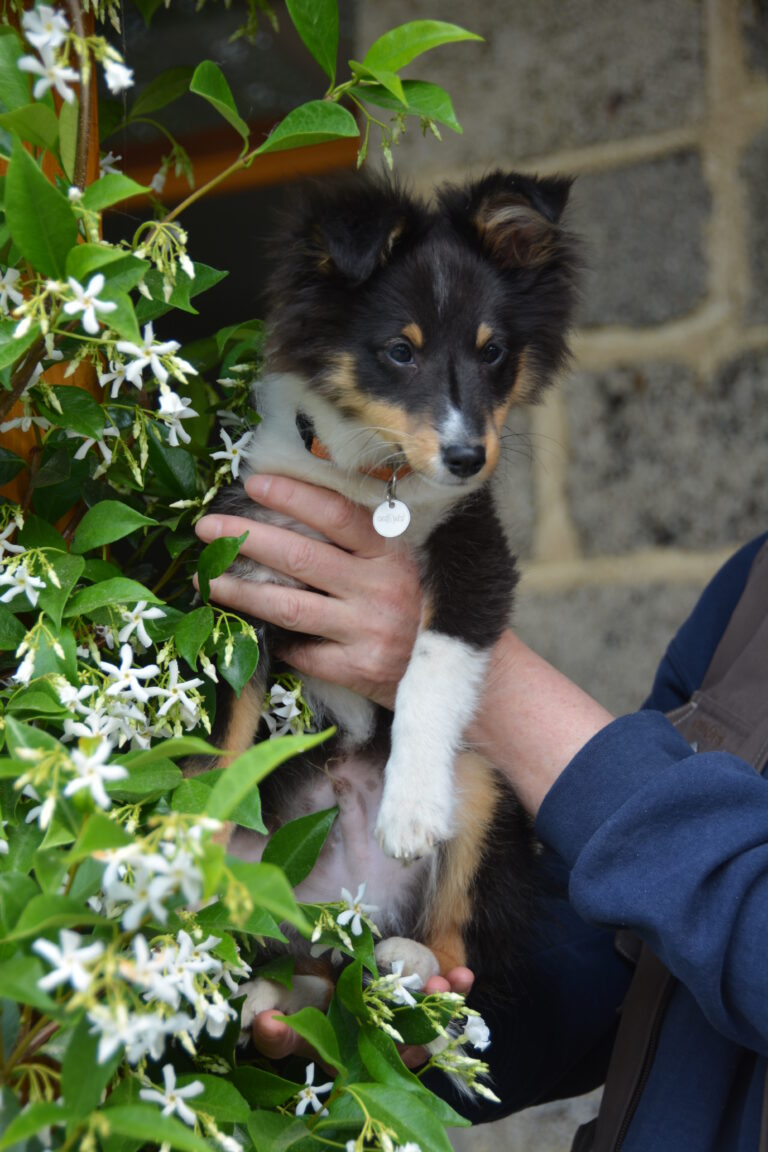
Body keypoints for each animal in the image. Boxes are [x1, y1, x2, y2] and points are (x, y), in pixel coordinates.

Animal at [210, 168, 575, 1018]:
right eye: (399, 352)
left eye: (494, 352)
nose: (468, 457)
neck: (375, 479)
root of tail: (349, 909)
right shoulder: (249, 572)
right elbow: (225, 734)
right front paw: (175, 844)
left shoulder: (475, 552)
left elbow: (432, 669)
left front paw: (409, 807)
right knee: (299, 962)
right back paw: (277, 991)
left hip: (483, 784)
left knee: (454, 957)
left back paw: (409, 963)